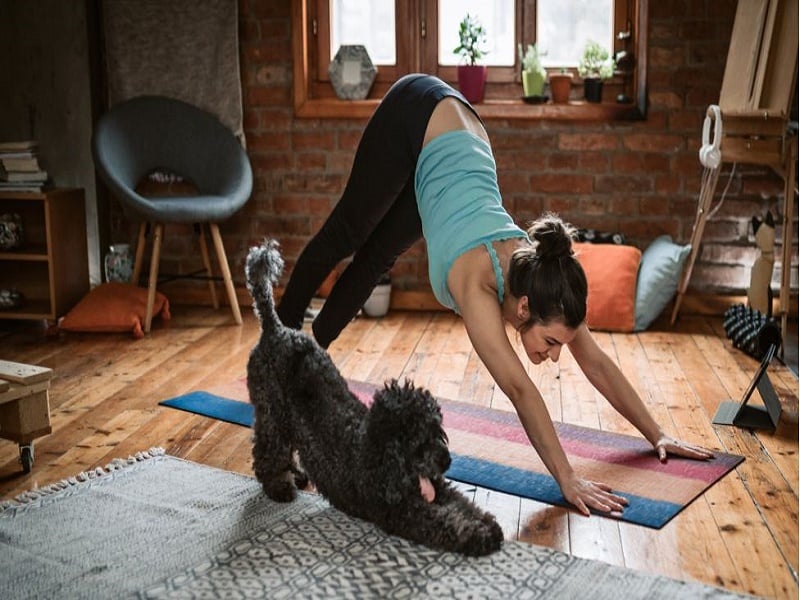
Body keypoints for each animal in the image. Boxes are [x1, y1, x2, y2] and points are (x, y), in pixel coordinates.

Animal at [247, 240, 504, 556]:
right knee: (267, 453)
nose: (446, 461)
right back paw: (279, 486)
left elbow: (461, 503)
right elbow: (444, 522)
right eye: (418, 442)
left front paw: (486, 522)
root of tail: (275, 329)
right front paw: (477, 535)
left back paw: (294, 474)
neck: (378, 452)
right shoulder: (402, 511)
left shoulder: (437, 488)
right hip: (272, 413)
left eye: (438, 431)